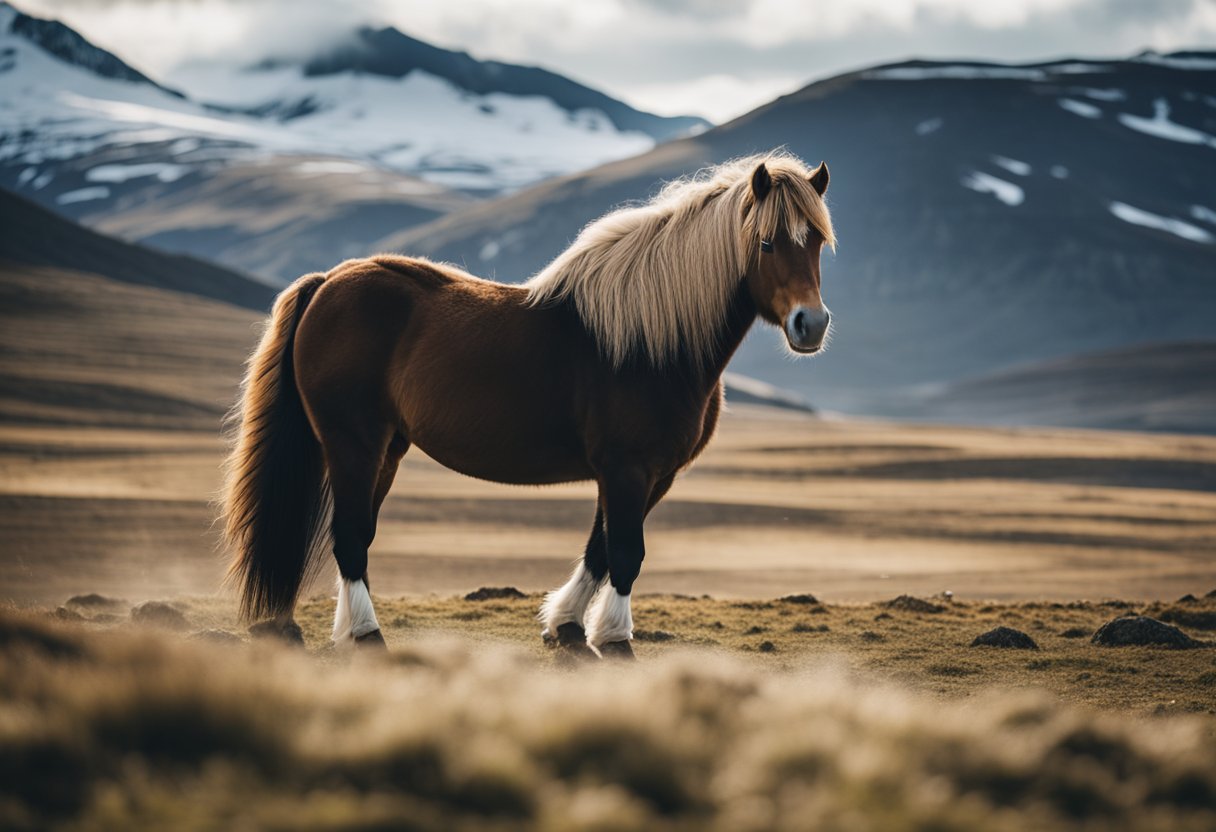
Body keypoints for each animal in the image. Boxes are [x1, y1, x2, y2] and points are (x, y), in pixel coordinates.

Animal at [221, 149, 836, 656]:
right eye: (766, 243)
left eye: (815, 242)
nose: (811, 324)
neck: (654, 342)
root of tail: (328, 282)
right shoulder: (627, 469)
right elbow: (625, 554)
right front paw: (615, 639)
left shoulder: (649, 475)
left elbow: (599, 550)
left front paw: (565, 626)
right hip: (353, 444)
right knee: (349, 537)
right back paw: (369, 635)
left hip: (386, 450)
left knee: (358, 534)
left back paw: (350, 631)